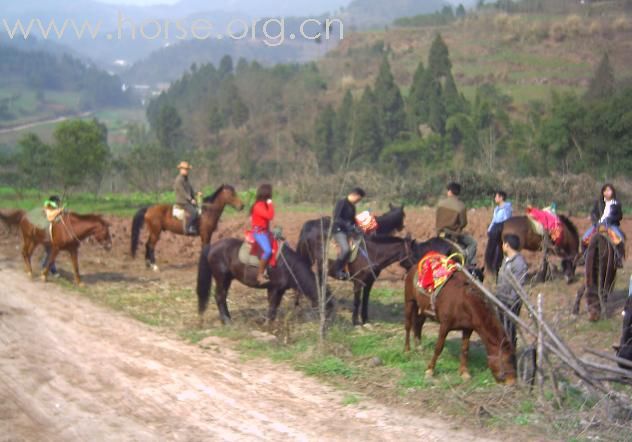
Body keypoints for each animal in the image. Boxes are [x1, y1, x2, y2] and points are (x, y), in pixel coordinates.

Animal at [196, 238, 336, 324]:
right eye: (327, 308)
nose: (328, 328)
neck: (288, 265)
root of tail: (212, 246)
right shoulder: (274, 289)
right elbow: (272, 307)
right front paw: (268, 325)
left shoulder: (278, 290)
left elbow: (274, 307)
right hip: (222, 278)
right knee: (220, 297)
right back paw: (227, 321)